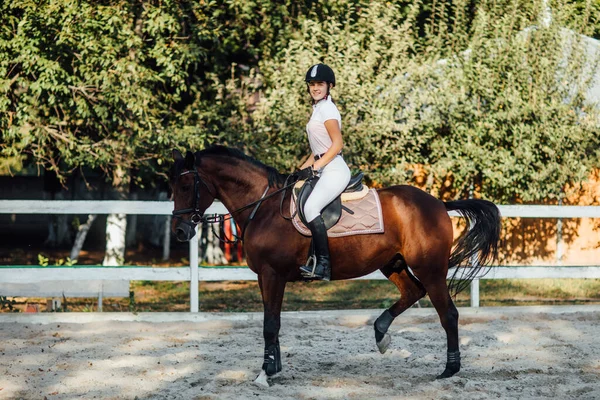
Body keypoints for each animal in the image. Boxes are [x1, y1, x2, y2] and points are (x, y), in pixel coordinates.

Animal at [169, 145, 502, 386]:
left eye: (185, 184)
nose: (180, 232)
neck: (263, 208)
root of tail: (438, 204)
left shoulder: (273, 274)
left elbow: (270, 324)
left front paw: (266, 373)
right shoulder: (265, 277)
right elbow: (272, 321)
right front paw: (273, 366)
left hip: (431, 269)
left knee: (448, 314)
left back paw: (449, 369)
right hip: (393, 263)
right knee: (412, 293)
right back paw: (381, 333)